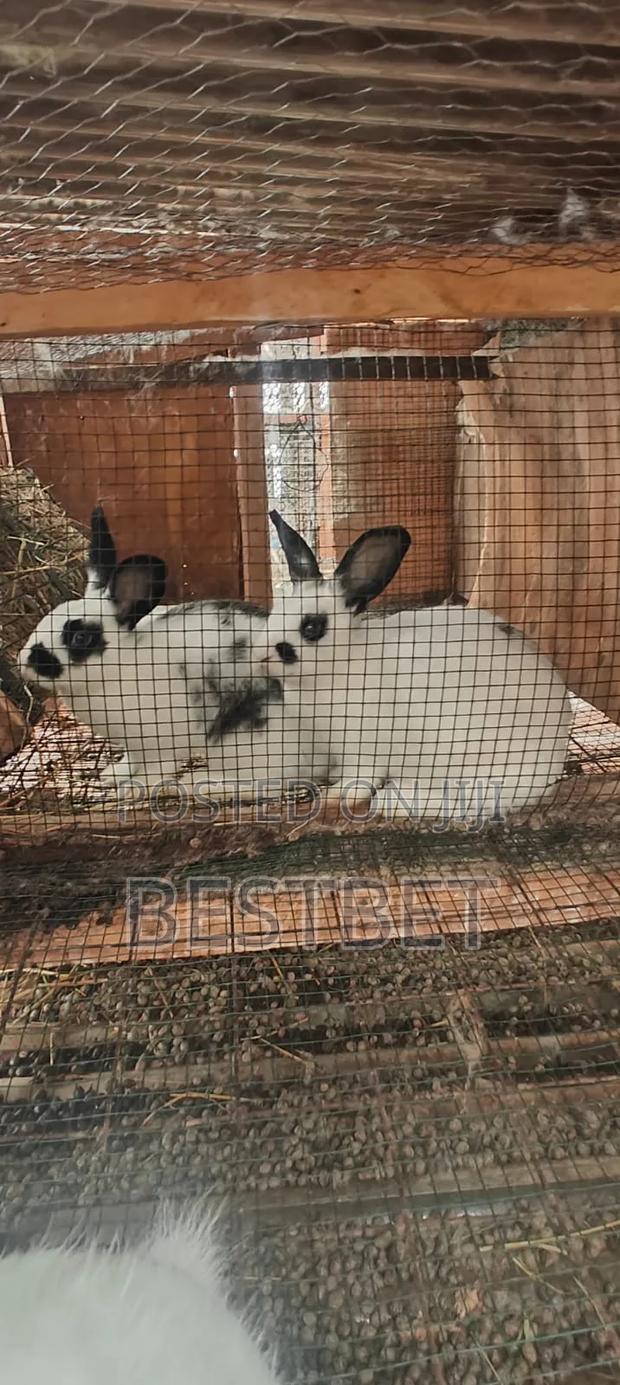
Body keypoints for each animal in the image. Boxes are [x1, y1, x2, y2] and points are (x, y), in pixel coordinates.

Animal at [18, 506, 324, 798]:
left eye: (80, 637)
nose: (24, 662)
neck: (120, 666)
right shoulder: (134, 746)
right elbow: (131, 760)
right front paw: (113, 775)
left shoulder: (160, 742)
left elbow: (156, 769)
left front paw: (133, 789)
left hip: (246, 741)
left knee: (266, 784)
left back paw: (202, 782)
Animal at [253, 511, 573, 825]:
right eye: (277, 610)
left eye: (312, 627)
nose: (260, 655)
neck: (340, 664)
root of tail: (551, 761)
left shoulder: (364, 745)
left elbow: (360, 780)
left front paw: (335, 794)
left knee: (472, 800)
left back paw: (394, 801)